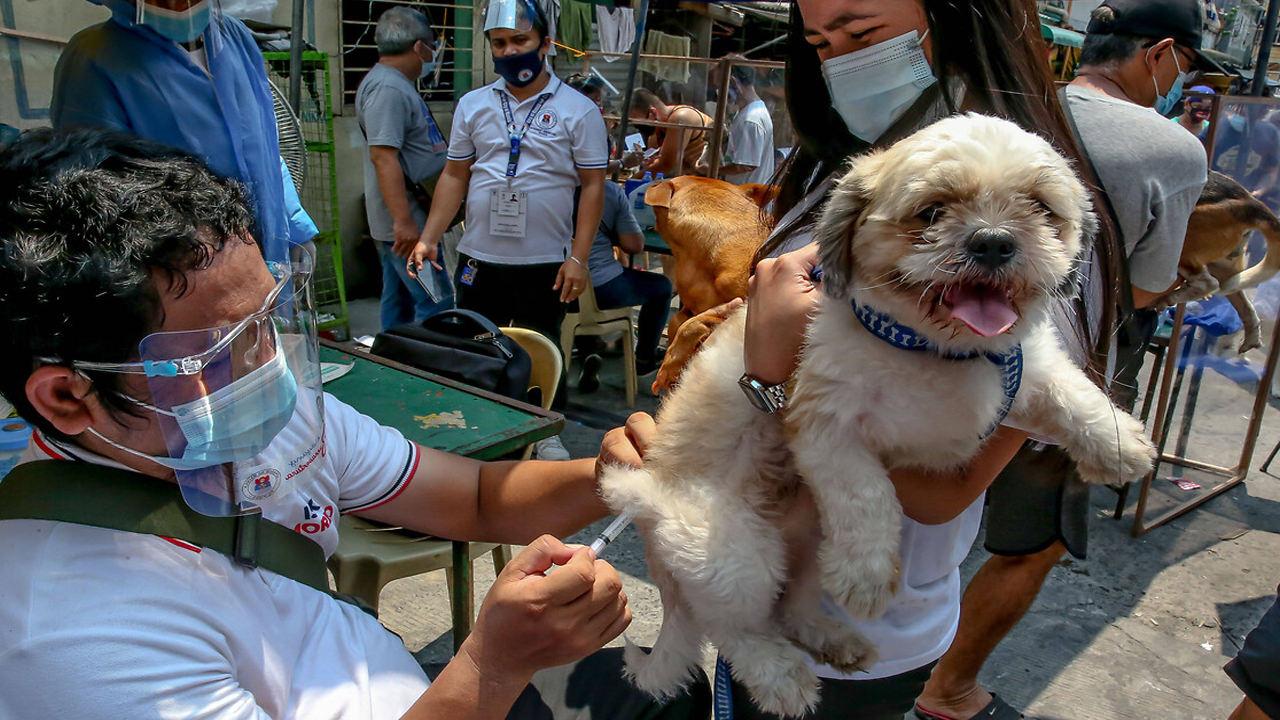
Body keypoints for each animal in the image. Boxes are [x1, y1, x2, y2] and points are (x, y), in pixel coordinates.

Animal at [599, 114, 1162, 712]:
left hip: (804, 542)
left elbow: (1074, 395)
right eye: (932, 212)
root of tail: (651, 508)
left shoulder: (1026, 368)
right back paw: (782, 678)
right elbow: (868, 496)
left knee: (791, 605)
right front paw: (867, 576)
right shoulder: (826, 425)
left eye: (1039, 208)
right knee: (736, 628)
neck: (933, 350)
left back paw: (833, 640)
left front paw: (1119, 445)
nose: (994, 241)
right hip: (737, 556)